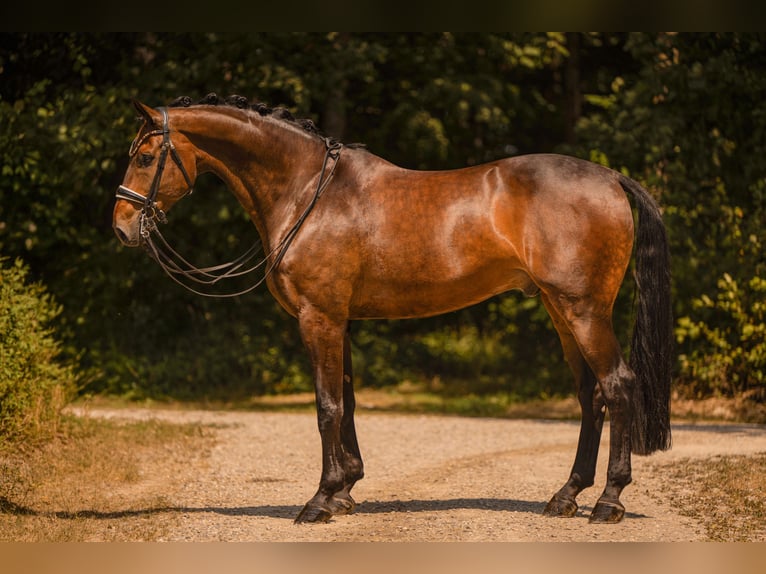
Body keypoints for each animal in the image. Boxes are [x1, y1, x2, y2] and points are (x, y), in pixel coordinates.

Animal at [112, 94, 672, 525]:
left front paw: (320, 500)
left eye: (146, 157)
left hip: (585, 312)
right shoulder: (339, 321)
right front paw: (344, 491)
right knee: (590, 396)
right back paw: (566, 495)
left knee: (617, 386)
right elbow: (347, 402)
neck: (309, 192)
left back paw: (609, 501)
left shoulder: (318, 318)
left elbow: (326, 407)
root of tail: (610, 178)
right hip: (561, 313)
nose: (121, 227)